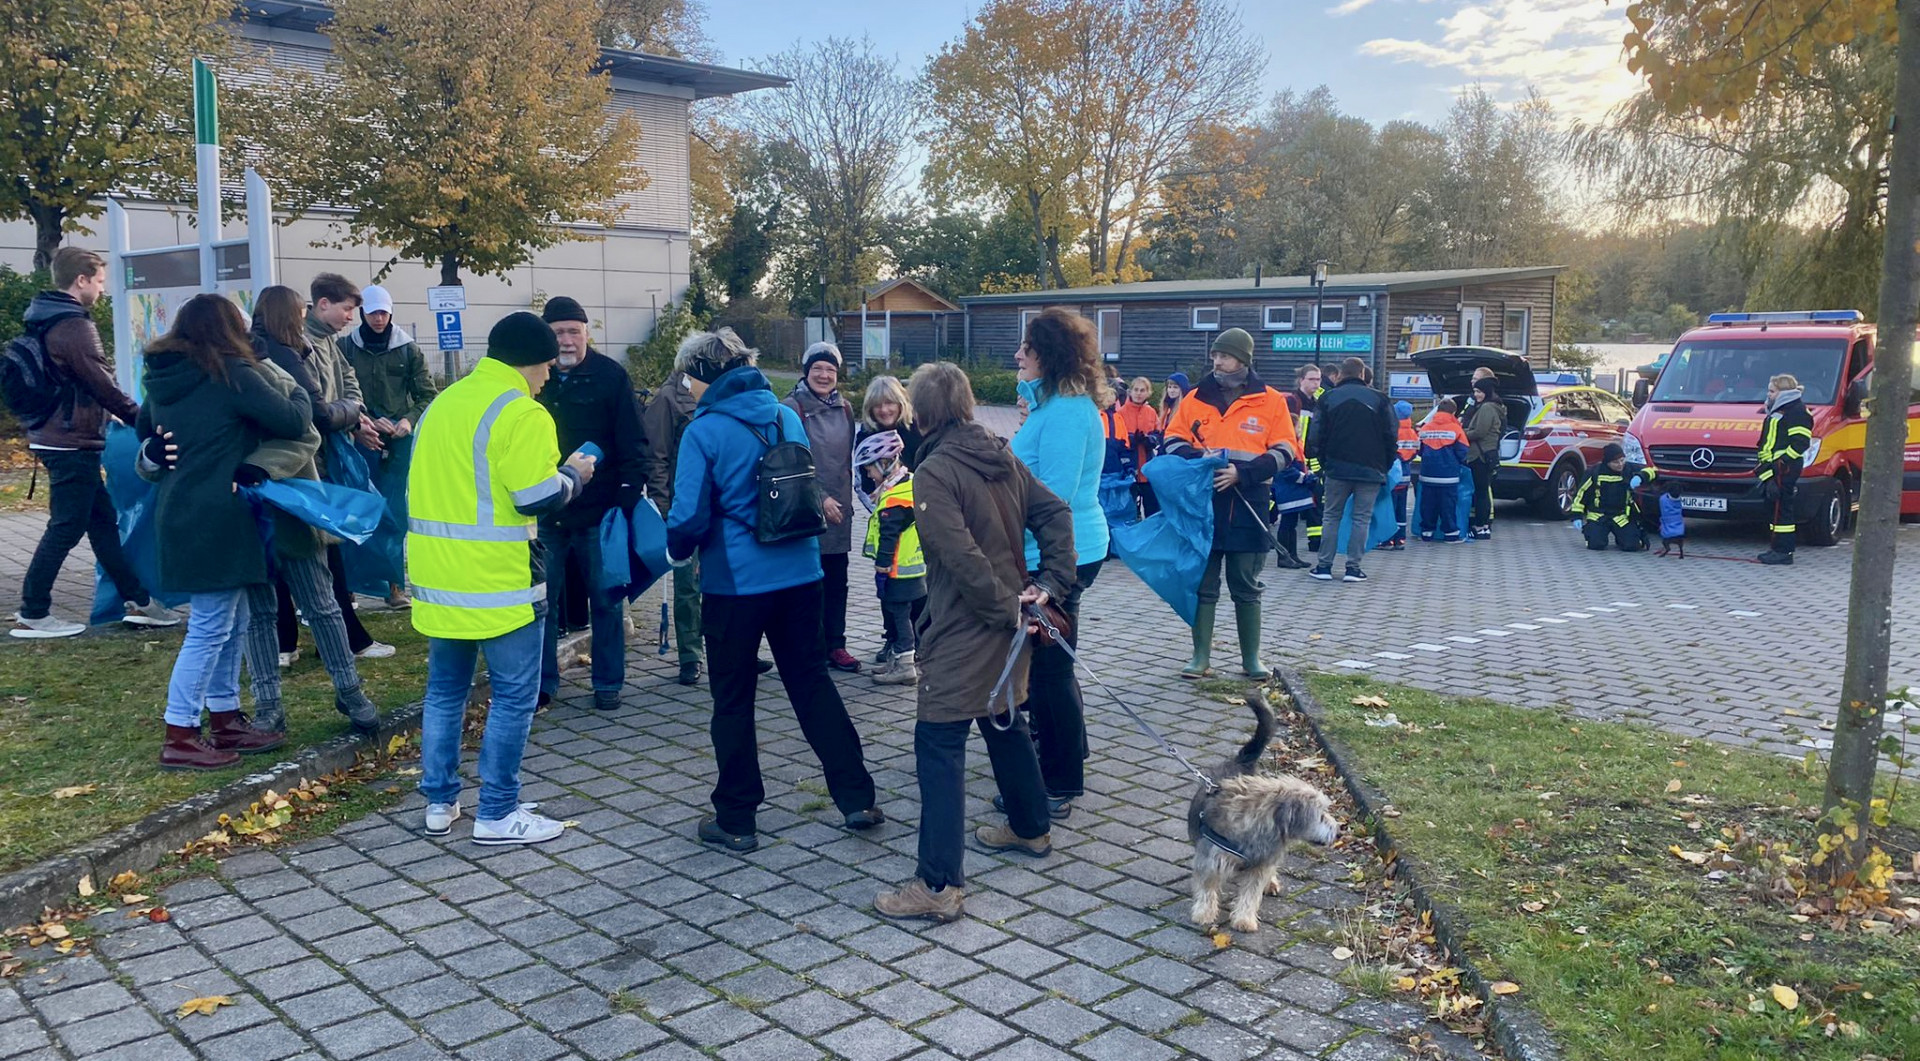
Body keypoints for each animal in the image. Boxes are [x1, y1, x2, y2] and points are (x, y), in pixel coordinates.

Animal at [1187, 698, 1339, 932]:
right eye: (1321, 815)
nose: (1338, 832)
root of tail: (1242, 760)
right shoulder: (1210, 859)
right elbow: (1206, 888)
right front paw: (1204, 913)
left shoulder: (1260, 865)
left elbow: (1251, 894)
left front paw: (1244, 919)